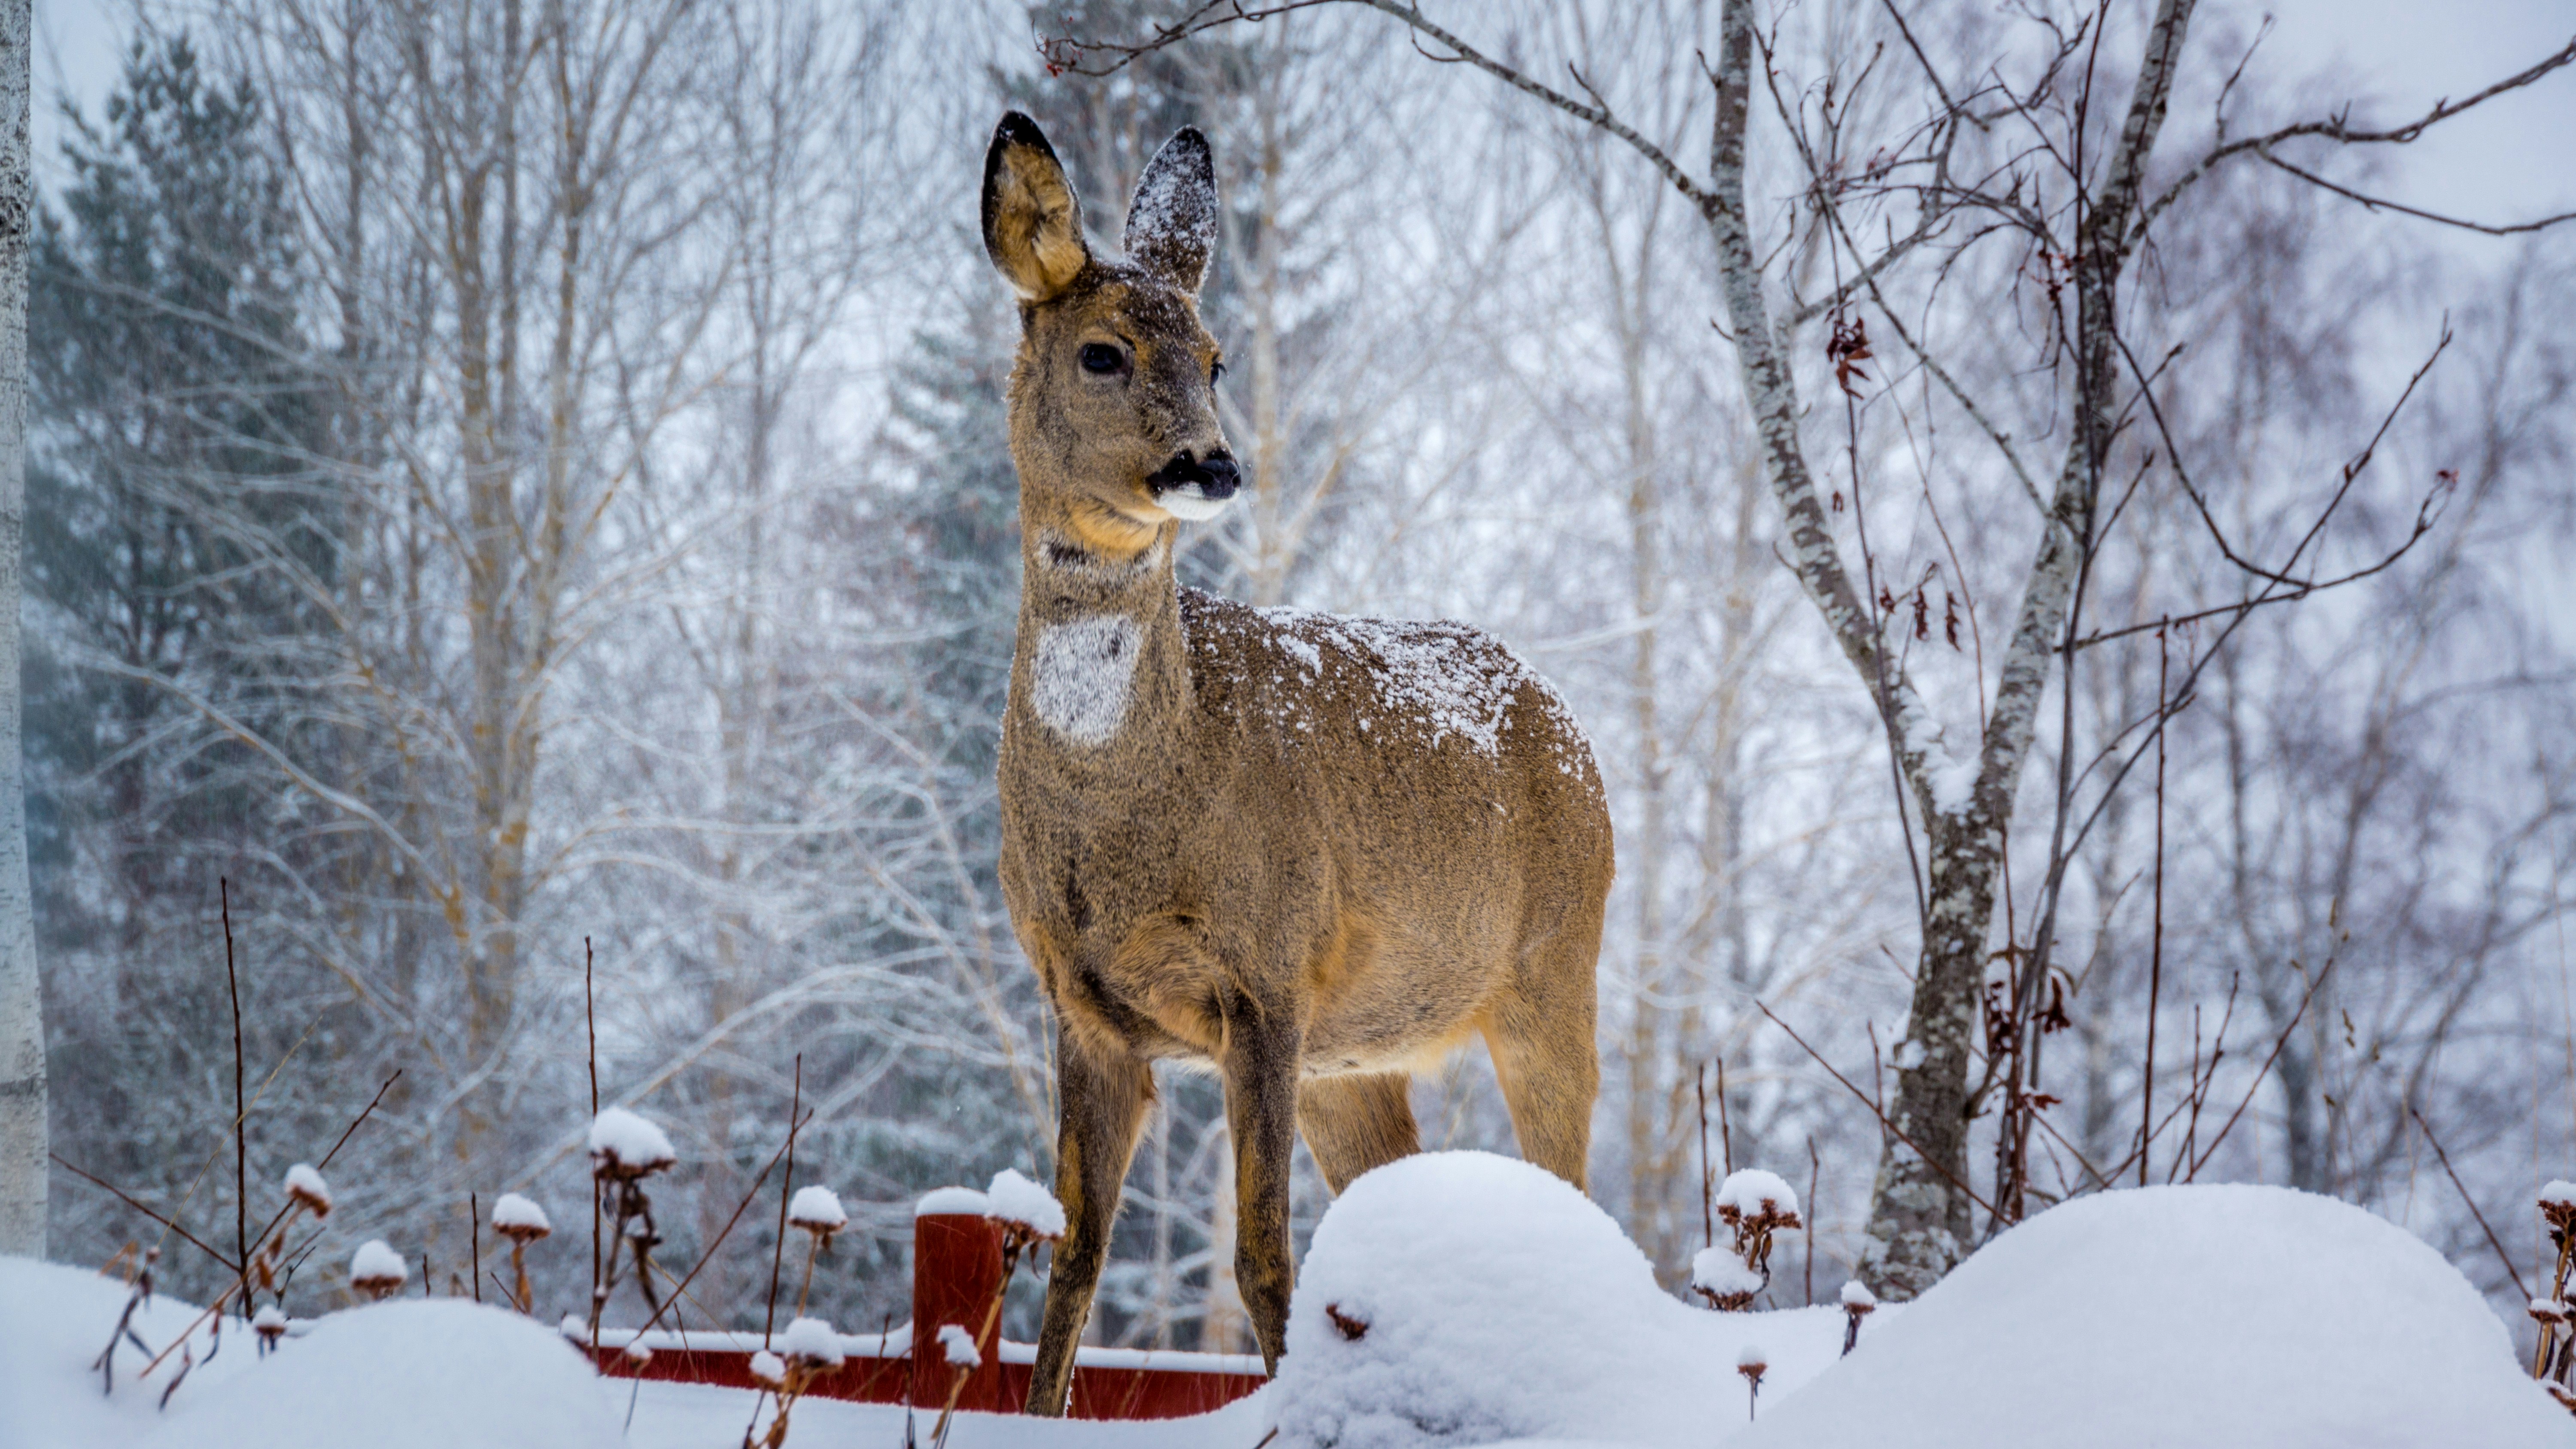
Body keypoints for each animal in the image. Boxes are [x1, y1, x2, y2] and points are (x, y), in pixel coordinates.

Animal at [980, 111, 1614, 1415]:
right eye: (1104, 353)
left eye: (1217, 358)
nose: (1212, 466)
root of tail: (1565, 722)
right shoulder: (1082, 1003)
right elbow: (1075, 1257)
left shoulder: (1265, 970)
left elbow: (1264, 1252)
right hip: (1356, 1055)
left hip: (1552, 966)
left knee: (1574, 1191)